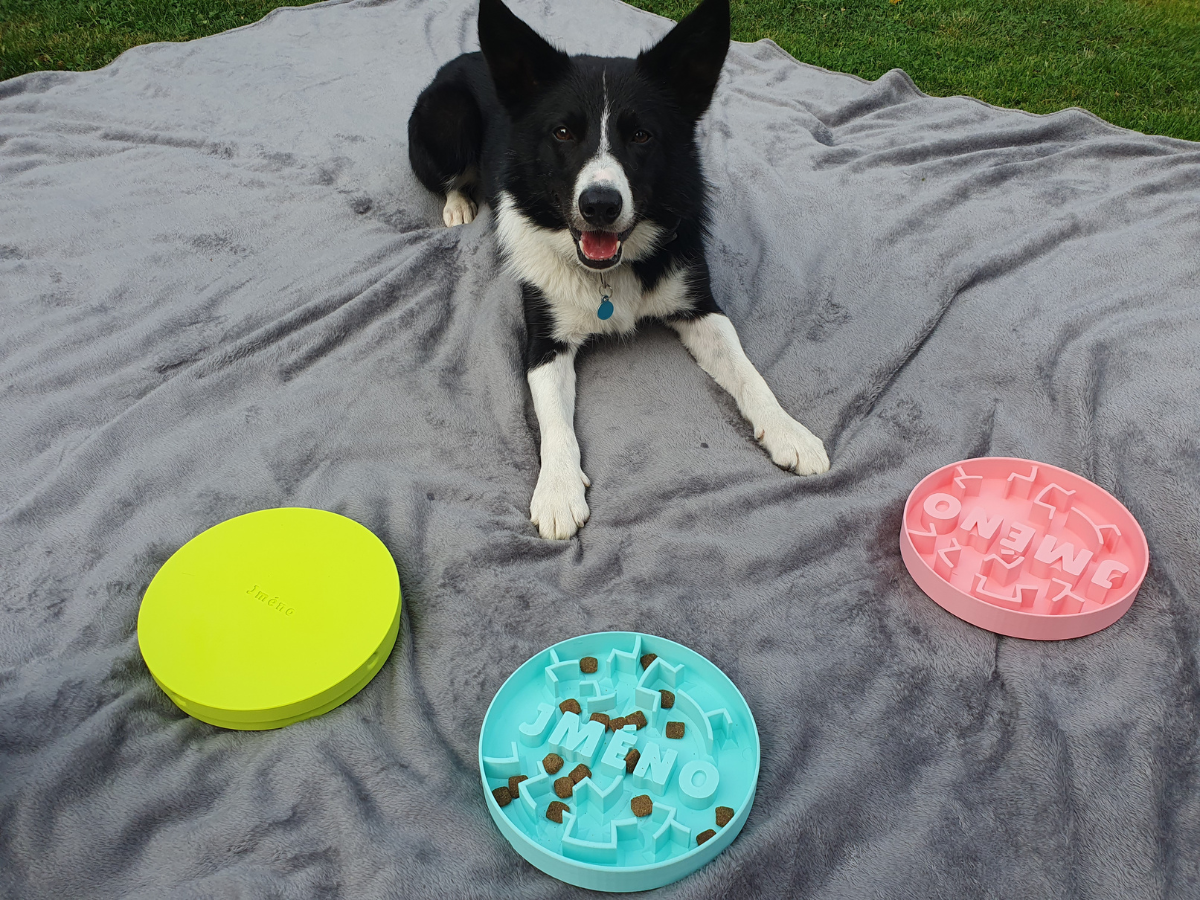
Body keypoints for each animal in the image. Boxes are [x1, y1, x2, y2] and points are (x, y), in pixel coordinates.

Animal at [408, 0, 830, 540]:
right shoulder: (544, 339)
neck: (610, 270)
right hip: (447, 124)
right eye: (563, 132)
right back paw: (459, 205)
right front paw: (558, 491)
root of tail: (463, 58)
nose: (600, 206)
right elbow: (555, 424)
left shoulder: (701, 307)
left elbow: (748, 372)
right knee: (449, 178)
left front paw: (789, 431)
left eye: (642, 135)